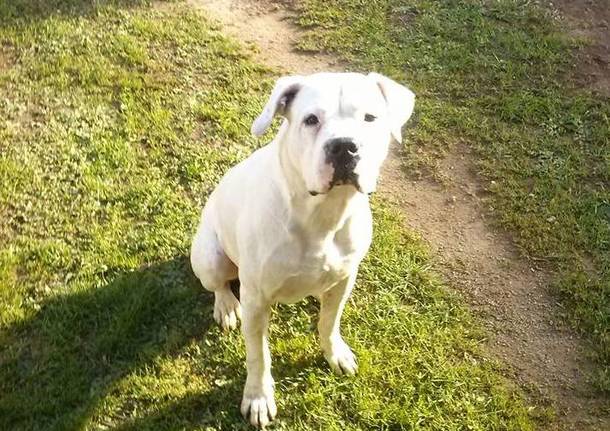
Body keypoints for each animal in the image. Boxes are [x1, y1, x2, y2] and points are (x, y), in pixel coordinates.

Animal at [191, 72, 414, 426]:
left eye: (370, 118)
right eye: (311, 120)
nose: (344, 146)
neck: (322, 213)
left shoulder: (344, 280)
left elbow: (329, 322)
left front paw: (335, 353)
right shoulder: (256, 300)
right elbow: (259, 355)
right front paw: (258, 397)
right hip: (211, 257)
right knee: (219, 285)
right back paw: (226, 306)